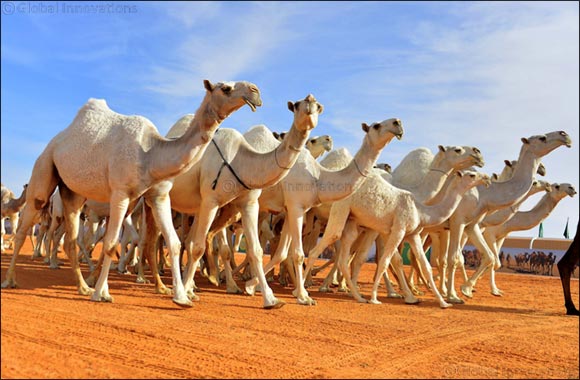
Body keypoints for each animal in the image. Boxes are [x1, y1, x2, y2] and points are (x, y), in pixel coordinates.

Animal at [1, 79, 262, 308]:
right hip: (44, 167)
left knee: (71, 238)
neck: (150, 153)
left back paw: (82, 287)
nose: (255, 91)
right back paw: (11, 280)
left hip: (72, 192)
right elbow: (110, 243)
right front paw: (101, 294)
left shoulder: (157, 195)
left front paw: (181, 297)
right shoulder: (120, 193)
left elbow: (174, 242)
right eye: (225, 88)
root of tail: (57, 139)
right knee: (26, 226)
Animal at [139, 94, 322, 308]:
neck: (241, 161)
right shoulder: (211, 200)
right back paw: (162, 284)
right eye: (298, 105)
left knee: (160, 241)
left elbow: (256, 250)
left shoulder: (249, 203)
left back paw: (169, 286)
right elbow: (198, 247)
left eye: (318, 106)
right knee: (150, 240)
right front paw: (187, 292)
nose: (309, 103)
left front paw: (270, 299)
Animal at [442, 131, 572, 302]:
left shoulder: (494, 233)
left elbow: (493, 260)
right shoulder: (481, 229)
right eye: (542, 138)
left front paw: (484, 289)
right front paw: (465, 290)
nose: (565, 135)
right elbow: (484, 259)